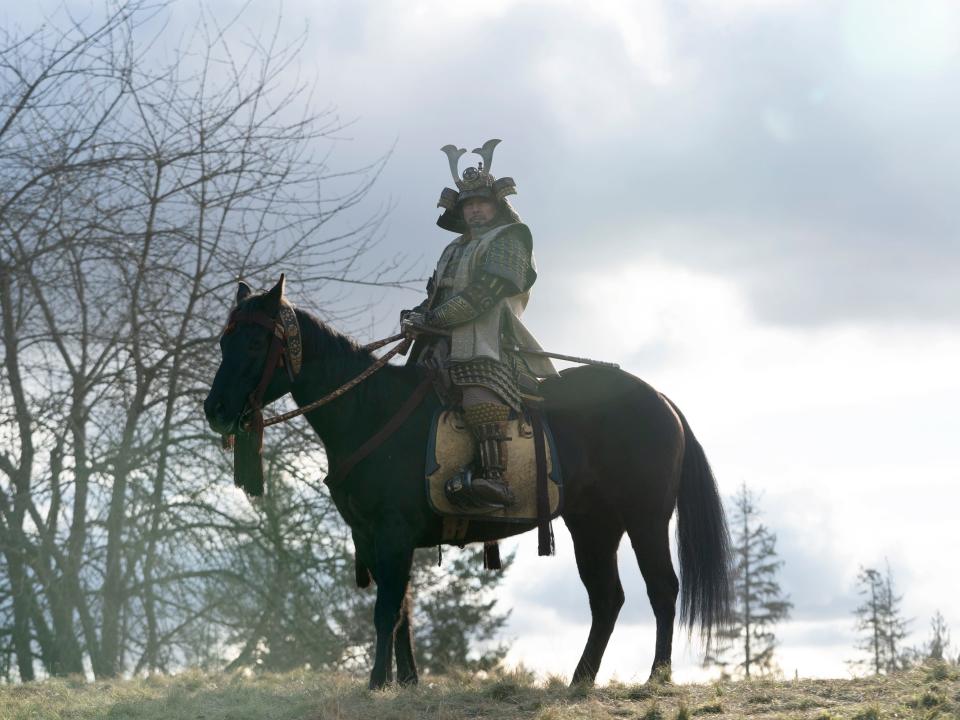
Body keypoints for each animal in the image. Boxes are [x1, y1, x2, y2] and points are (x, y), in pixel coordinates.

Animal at [204, 278, 728, 688]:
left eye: (254, 345)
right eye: (224, 343)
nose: (216, 410)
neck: (369, 409)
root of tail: (661, 400)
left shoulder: (391, 534)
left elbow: (386, 610)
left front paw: (376, 684)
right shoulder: (376, 538)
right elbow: (402, 611)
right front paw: (405, 682)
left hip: (646, 518)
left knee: (661, 588)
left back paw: (656, 677)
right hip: (593, 525)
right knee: (607, 598)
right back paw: (580, 680)